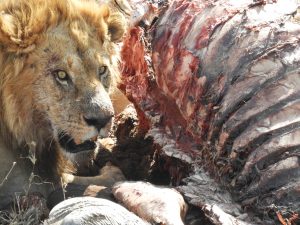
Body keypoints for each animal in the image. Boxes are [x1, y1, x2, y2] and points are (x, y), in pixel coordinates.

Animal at [0, 0, 131, 209]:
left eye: (102, 70)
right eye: (61, 75)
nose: (103, 120)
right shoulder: (22, 185)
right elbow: (110, 177)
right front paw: (111, 171)